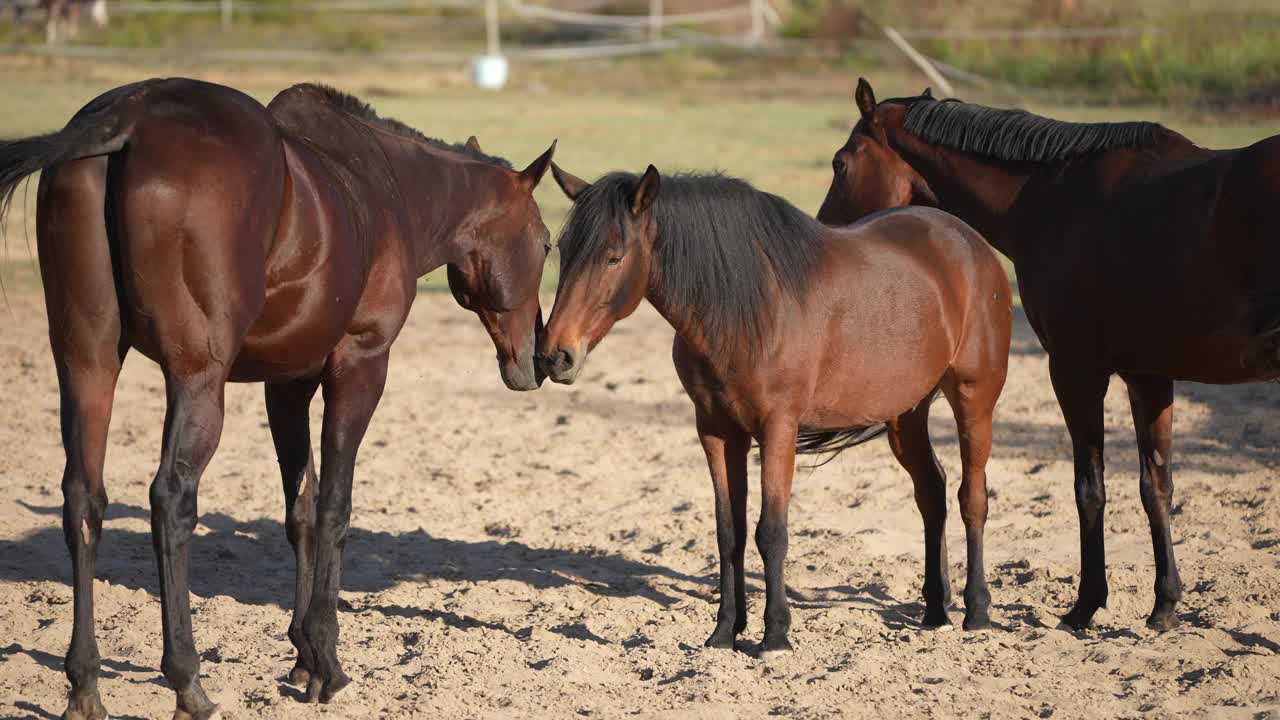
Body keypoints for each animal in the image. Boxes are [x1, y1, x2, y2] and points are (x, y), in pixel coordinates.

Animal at [1, 78, 560, 717]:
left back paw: (85, 684)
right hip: (196, 379)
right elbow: (335, 507)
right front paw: (325, 660)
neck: (386, 191)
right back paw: (187, 680)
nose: (536, 360)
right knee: (170, 500)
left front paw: (301, 655)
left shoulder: (286, 384)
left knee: (83, 500)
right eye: (547, 243)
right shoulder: (360, 366)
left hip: (87, 363)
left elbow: (301, 511)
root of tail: (128, 120)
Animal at [537, 162, 1008, 655]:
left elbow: (772, 531)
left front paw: (775, 634)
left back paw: (977, 611)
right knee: (931, 492)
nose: (554, 356)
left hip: (974, 398)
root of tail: (971, 243)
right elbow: (730, 532)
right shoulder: (717, 431)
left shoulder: (778, 428)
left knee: (972, 497)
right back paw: (935, 611)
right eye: (564, 251)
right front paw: (725, 631)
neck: (747, 309)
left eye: (613, 257)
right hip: (905, 413)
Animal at [819, 77, 1280, 627]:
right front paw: (1164, 605)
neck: (1055, 200)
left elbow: (1090, 488)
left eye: (841, 163)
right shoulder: (1148, 375)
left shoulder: (1075, 369)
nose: (823, 236)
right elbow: (1156, 486)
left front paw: (1085, 605)